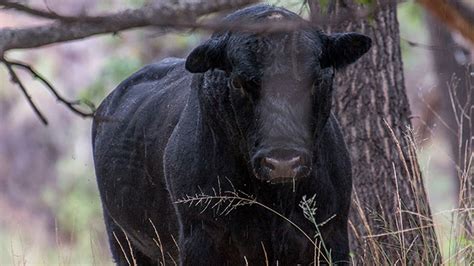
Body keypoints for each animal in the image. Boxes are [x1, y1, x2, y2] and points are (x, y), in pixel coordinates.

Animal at [92, 3, 370, 264]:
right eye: (238, 82)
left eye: (318, 79)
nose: (283, 161)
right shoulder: (200, 237)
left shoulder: (331, 234)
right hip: (124, 242)